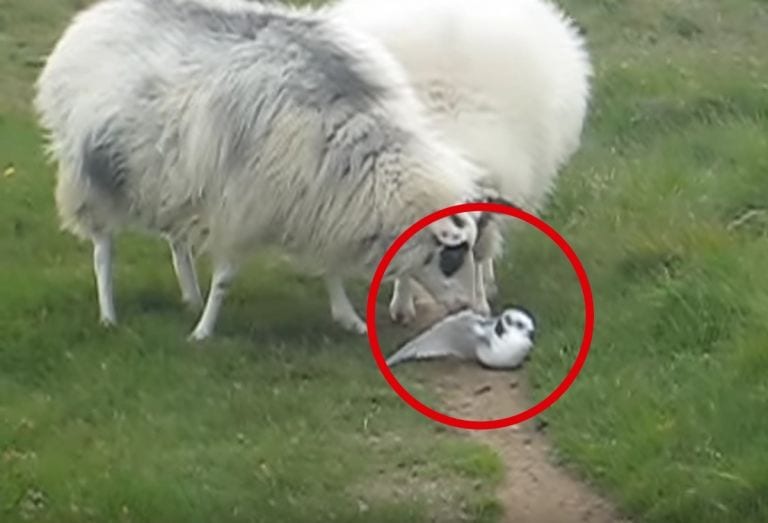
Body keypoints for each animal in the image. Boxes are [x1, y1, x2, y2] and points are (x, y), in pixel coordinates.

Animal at [34, 0, 492, 340]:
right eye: (451, 258)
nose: (472, 311)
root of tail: (88, 21)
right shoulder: (244, 204)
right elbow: (226, 278)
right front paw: (203, 333)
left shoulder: (316, 201)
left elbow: (330, 268)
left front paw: (349, 318)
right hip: (92, 175)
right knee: (103, 251)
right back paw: (109, 314)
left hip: (167, 179)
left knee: (177, 241)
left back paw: (189, 295)